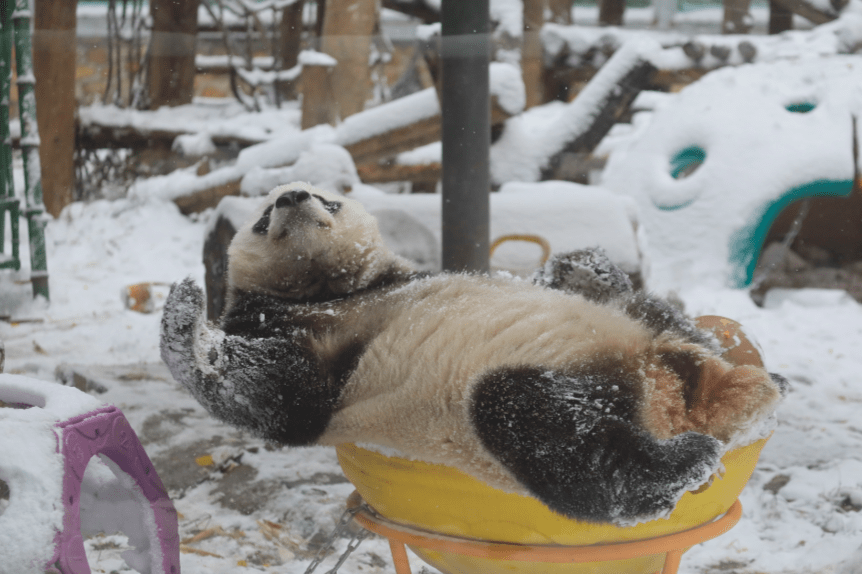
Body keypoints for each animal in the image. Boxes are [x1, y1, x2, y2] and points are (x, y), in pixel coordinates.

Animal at [162, 183, 788, 528]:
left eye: (329, 199)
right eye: (264, 215)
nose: (292, 198)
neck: (331, 290)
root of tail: (673, 398)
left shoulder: (405, 278)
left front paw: (579, 263)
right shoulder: (306, 348)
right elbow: (280, 398)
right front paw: (185, 317)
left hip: (636, 332)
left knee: (651, 314)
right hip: (494, 406)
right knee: (543, 428)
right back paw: (686, 462)